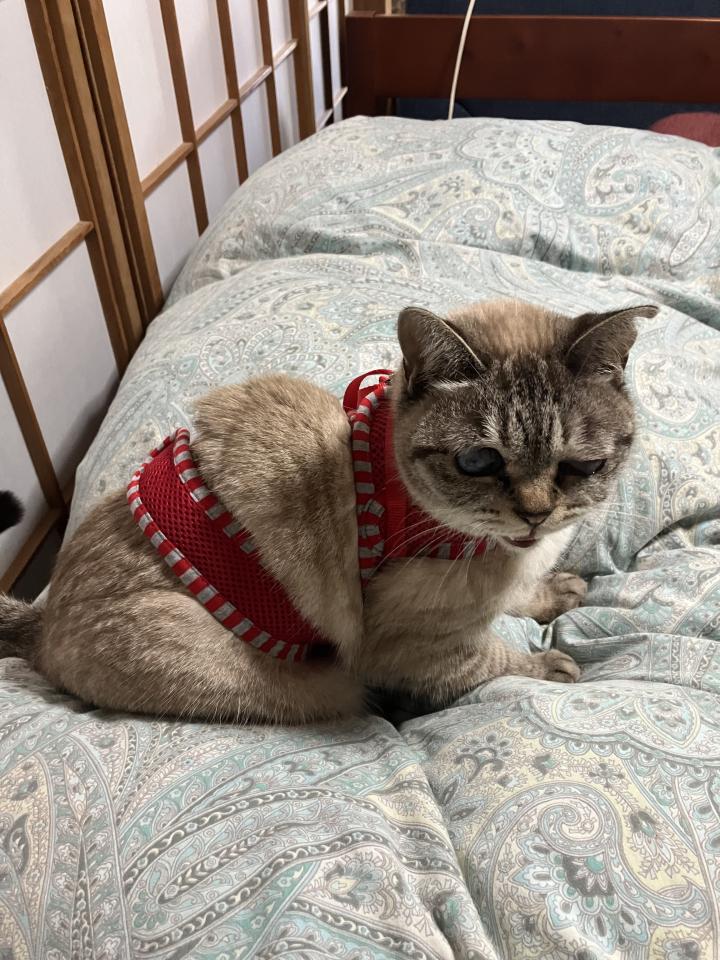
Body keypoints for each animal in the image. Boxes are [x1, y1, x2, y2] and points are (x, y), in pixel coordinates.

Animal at [0, 299, 656, 723]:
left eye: (582, 466)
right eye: (478, 461)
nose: (536, 515)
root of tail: (43, 620)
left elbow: (521, 597)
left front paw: (554, 591)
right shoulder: (413, 647)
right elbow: (495, 661)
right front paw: (549, 665)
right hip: (316, 685)